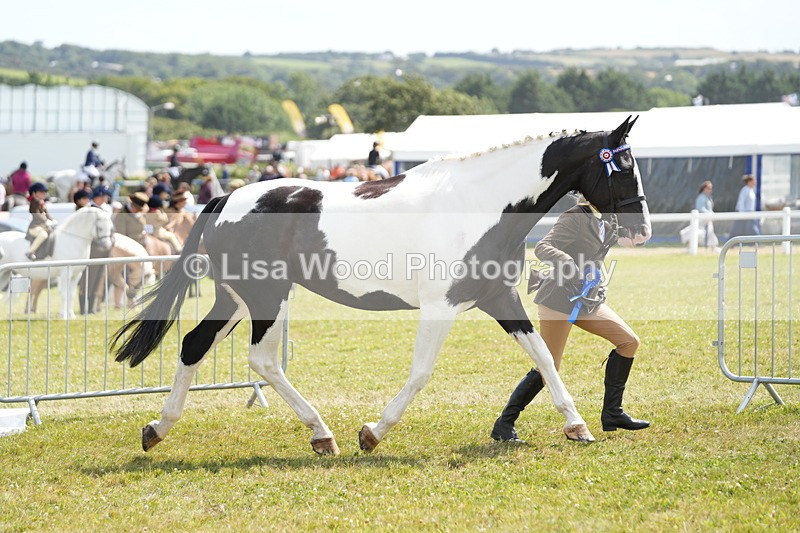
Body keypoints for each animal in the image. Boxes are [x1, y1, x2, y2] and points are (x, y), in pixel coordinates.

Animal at [114, 117, 650, 455]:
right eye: (621, 166)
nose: (641, 229)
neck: (478, 205)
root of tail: (226, 198)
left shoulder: (499, 297)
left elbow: (542, 357)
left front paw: (577, 425)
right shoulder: (441, 306)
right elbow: (421, 372)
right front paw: (372, 432)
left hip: (237, 298)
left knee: (194, 343)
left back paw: (157, 429)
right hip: (267, 297)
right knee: (262, 360)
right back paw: (322, 434)